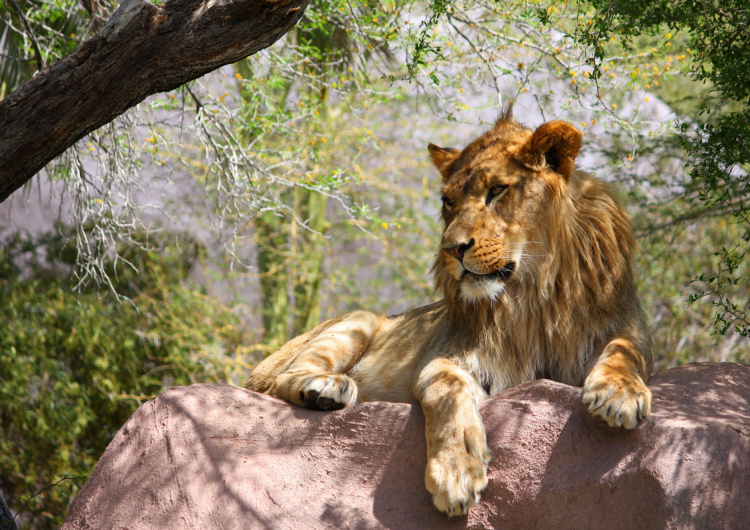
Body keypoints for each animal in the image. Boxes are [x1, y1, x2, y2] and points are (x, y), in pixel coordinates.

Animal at [245, 108, 652, 516]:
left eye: (497, 190)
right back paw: (326, 388)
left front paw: (618, 394)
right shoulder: (448, 357)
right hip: (358, 320)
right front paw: (456, 471)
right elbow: (448, 391)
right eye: (449, 202)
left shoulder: (622, 326)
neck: (533, 293)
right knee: (281, 380)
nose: (451, 249)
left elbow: (624, 351)